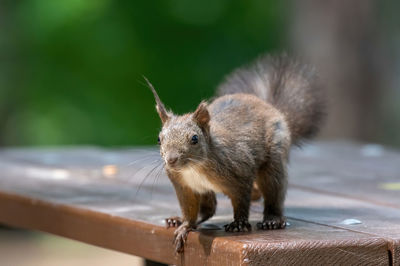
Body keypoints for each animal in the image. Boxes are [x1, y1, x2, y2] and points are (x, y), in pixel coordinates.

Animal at [146, 53, 324, 252]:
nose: (171, 160)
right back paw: (177, 220)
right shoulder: (184, 187)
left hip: (274, 158)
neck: (194, 168)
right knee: (209, 209)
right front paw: (185, 225)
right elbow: (189, 210)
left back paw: (272, 219)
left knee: (273, 190)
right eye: (159, 139)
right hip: (205, 190)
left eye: (194, 138)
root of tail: (272, 108)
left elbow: (241, 201)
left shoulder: (240, 172)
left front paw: (238, 224)